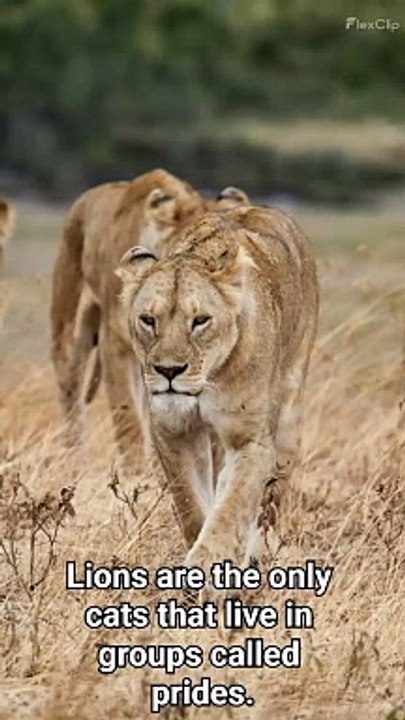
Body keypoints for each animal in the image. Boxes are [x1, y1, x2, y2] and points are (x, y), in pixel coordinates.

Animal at [50, 169, 248, 474]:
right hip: (70, 324)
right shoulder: (116, 344)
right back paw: (71, 461)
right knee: (71, 391)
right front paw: (136, 475)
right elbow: (127, 417)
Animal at [117, 206, 318, 567]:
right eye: (148, 320)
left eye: (200, 321)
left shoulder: (251, 440)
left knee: (268, 502)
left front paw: (209, 564)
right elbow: (191, 505)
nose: (169, 371)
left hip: (289, 417)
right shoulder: (173, 432)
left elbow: (232, 508)